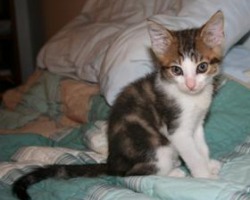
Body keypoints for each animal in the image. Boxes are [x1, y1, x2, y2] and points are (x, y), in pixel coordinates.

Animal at [13, 11, 225, 200]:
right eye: (176, 70)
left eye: (202, 67)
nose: (191, 85)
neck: (191, 98)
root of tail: (112, 163)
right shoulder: (177, 128)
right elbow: (192, 154)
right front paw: (205, 177)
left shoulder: (196, 123)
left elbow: (201, 147)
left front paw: (208, 164)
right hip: (157, 148)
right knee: (134, 173)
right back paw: (174, 172)